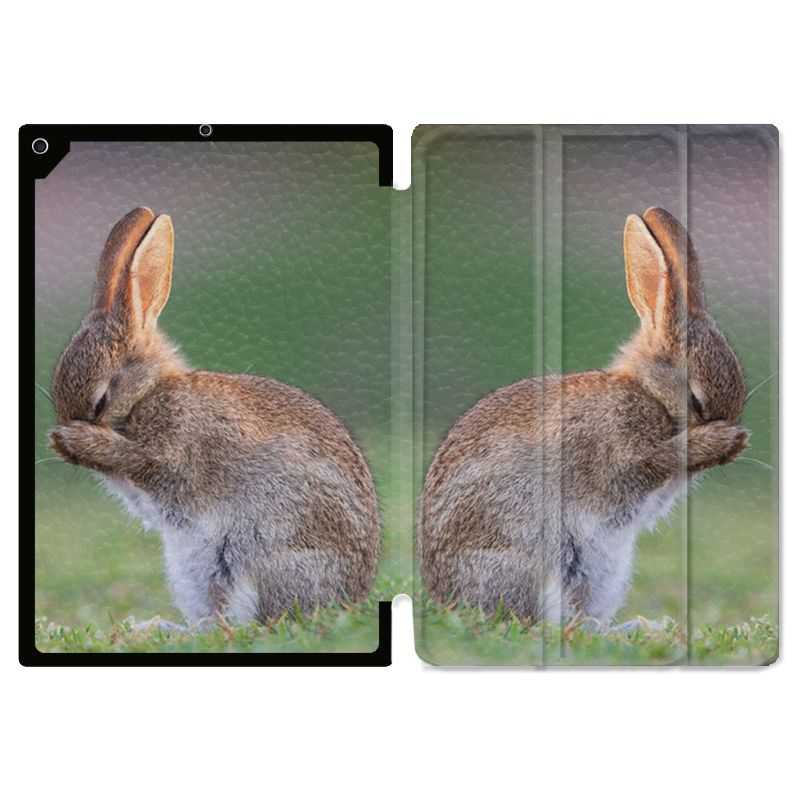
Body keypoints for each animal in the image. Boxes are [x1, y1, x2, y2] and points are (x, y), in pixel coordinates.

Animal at [49, 207, 380, 625]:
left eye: (101, 401)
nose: (63, 436)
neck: (149, 392)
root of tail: (349, 597)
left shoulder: (175, 452)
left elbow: (145, 462)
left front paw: (76, 441)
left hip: (248, 556)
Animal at [420, 207, 748, 627]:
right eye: (695, 400)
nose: (732, 437)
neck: (649, 393)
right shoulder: (617, 454)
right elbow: (647, 464)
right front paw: (720, 441)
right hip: (536, 560)